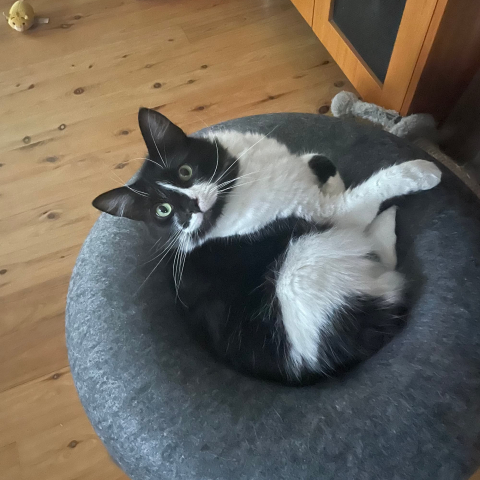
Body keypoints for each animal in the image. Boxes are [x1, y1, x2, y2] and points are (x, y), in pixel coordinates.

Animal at [94, 109, 442, 386]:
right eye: (163, 211)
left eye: (185, 171)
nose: (190, 207)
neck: (234, 183)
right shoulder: (327, 213)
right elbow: (366, 192)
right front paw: (423, 171)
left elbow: (320, 159)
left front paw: (326, 174)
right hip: (303, 266)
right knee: (382, 262)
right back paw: (388, 219)